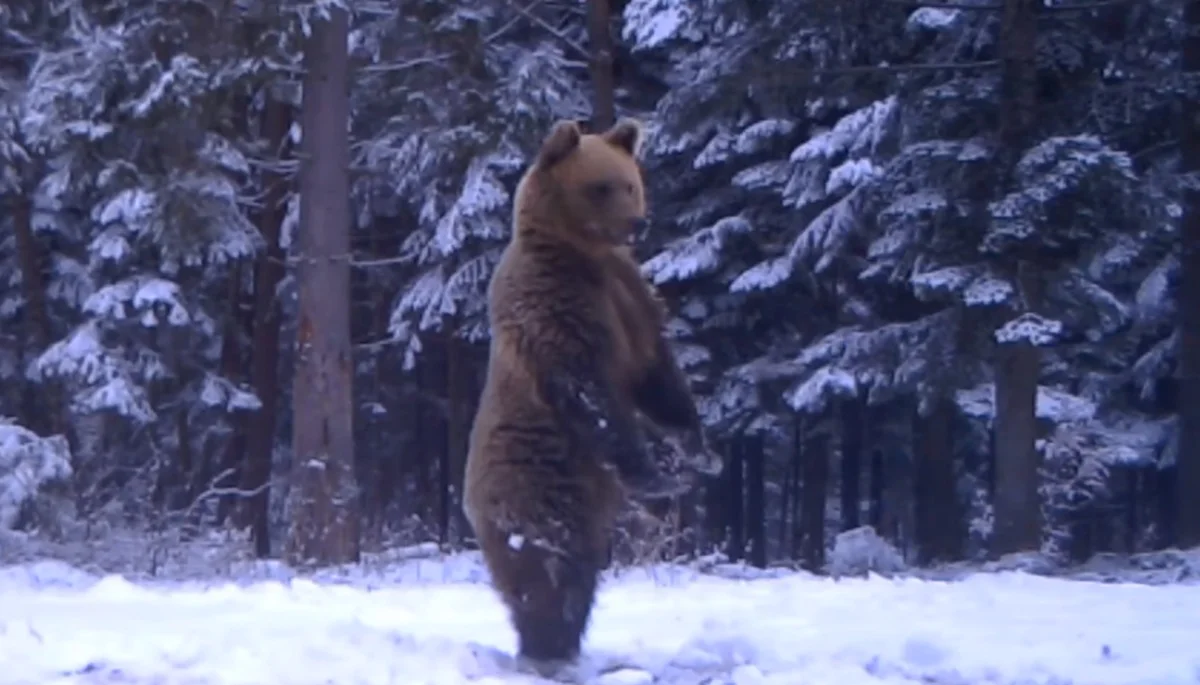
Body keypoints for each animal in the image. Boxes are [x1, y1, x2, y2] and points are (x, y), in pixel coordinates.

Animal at [460, 119, 720, 676]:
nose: (637, 223)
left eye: (631, 182)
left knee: (577, 575)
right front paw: (658, 478)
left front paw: (700, 451)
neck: (583, 256)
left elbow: (657, 377)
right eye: (601, 186)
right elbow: (592, 390)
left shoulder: (630, 298)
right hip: (535, 486)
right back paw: (546, 650)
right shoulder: (556, 306)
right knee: (547, 574)